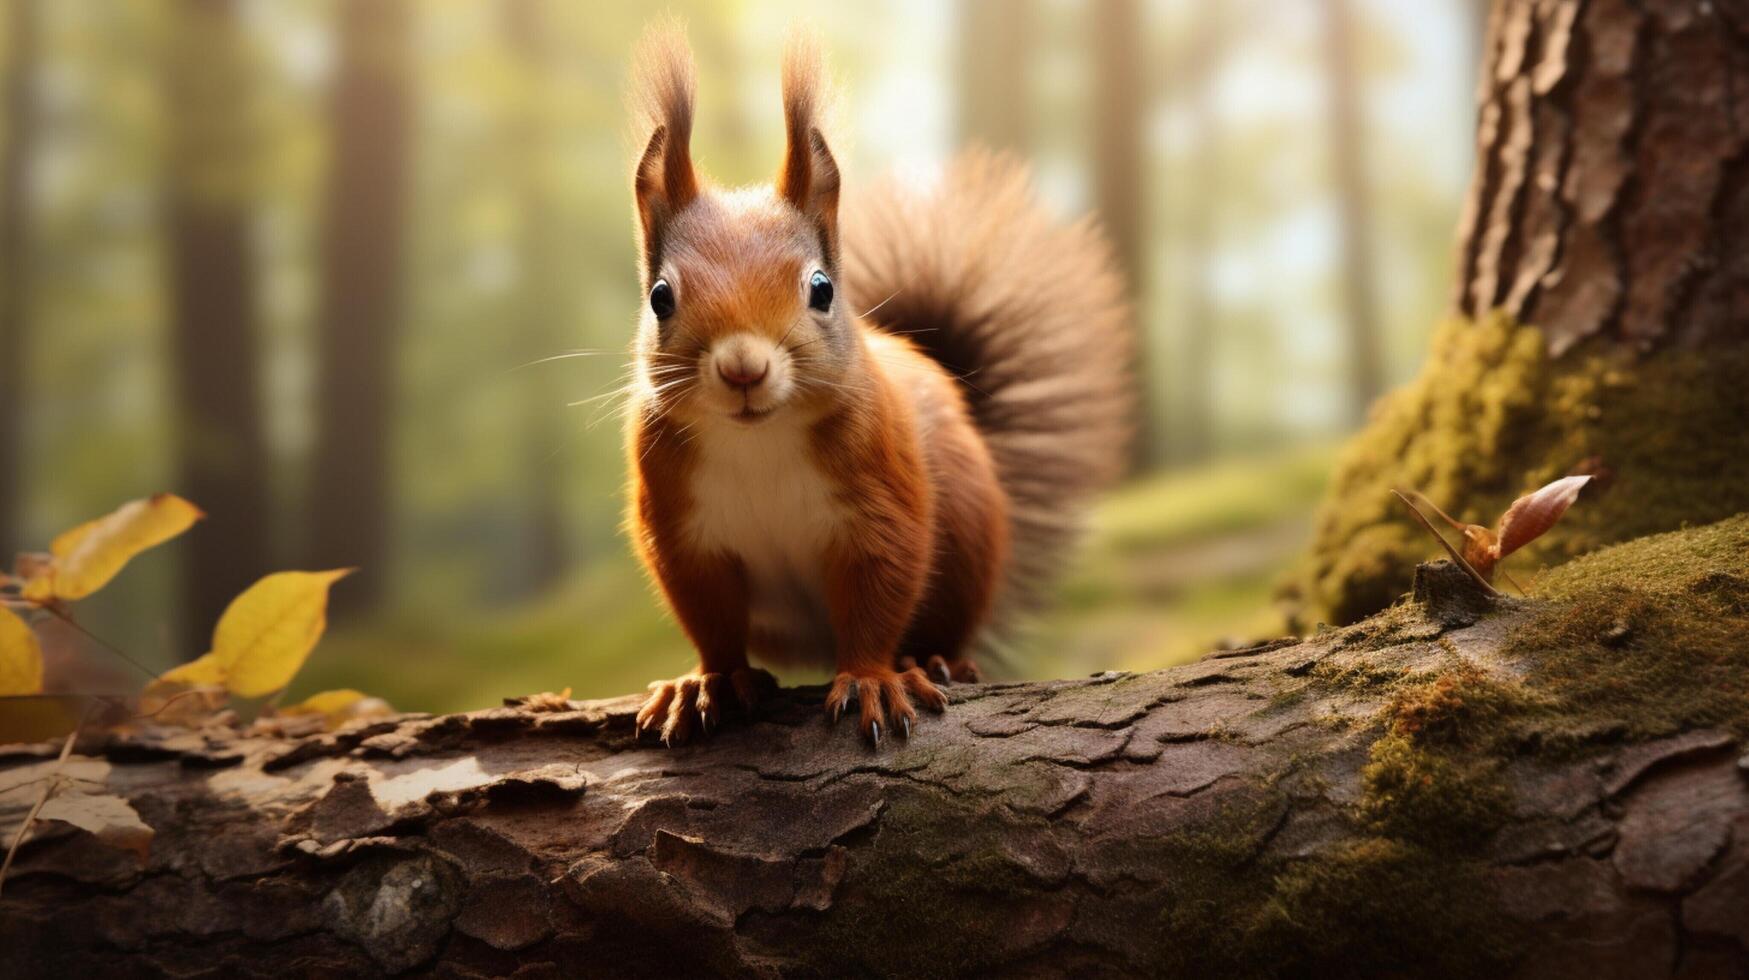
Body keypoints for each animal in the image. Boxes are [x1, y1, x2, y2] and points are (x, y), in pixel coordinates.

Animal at [622, 30, 1126, 745]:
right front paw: (706, 682)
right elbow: (710, 618)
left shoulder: (878, 498)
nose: (744, 368)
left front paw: (870, 680)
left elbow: (878, 592)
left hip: (968, 537)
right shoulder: (681, 528)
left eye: (821, 289)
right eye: (661, 297)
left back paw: (936, 660)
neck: (758, 442)